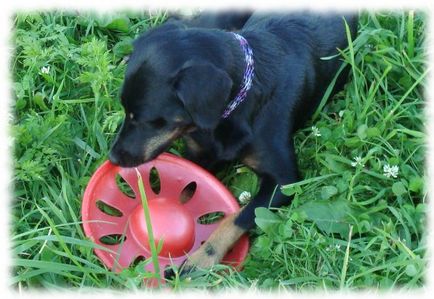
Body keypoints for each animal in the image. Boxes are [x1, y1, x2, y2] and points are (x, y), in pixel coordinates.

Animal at [110, 12, 358, 272]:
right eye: (125, 109)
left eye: (150, 121)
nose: (113, 157)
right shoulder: (198, 157)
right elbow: (186, 190)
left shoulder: (284, 181)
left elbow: (238, 217)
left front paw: (201, 259)